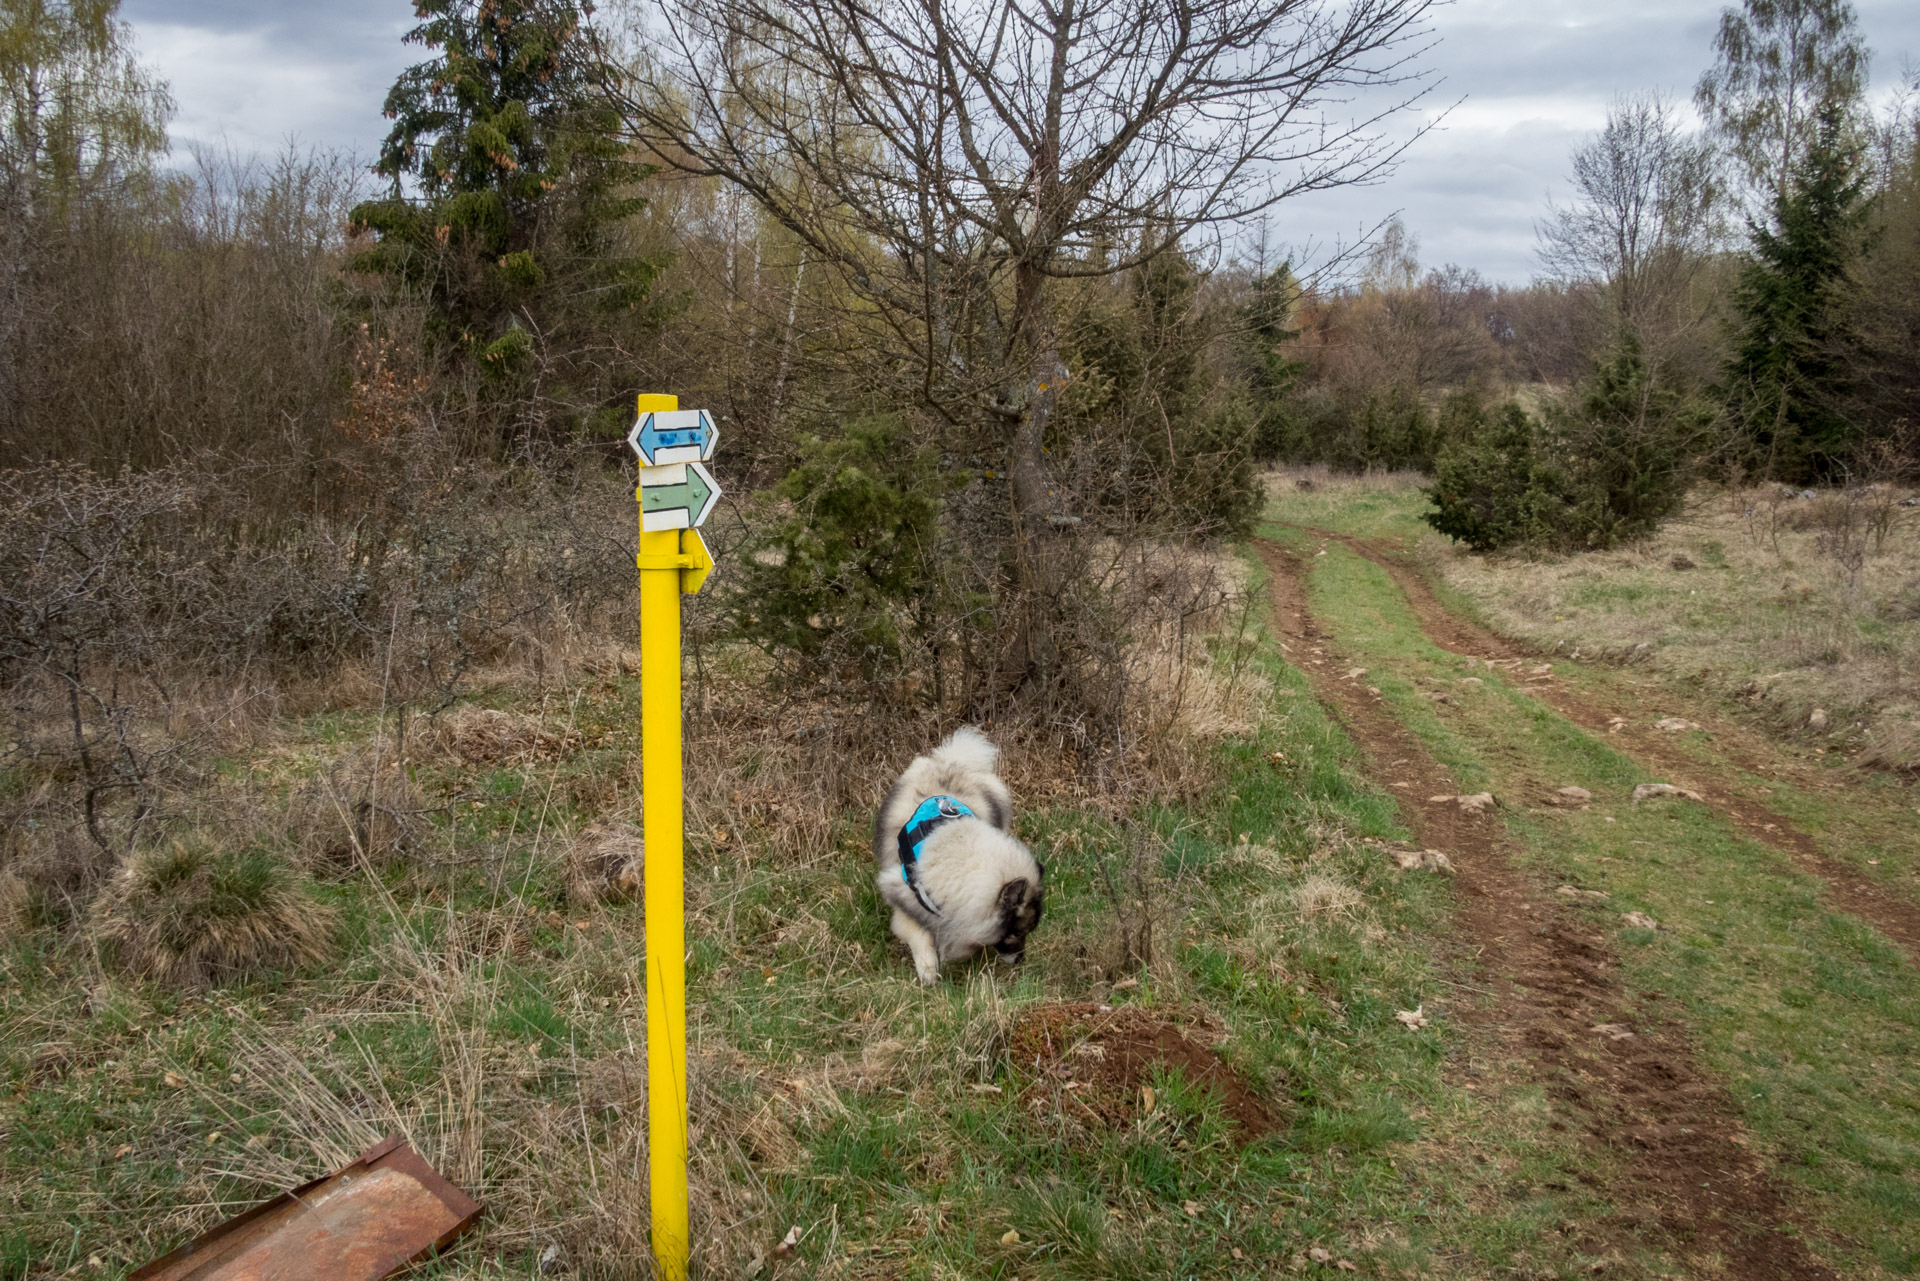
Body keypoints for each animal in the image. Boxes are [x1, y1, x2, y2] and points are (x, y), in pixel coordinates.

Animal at [875, 725, 1044, 990]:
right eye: (1015, 933)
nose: (1020, 960)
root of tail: (953, 759)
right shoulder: (905, 904)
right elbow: (921, 938)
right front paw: (929, 973)